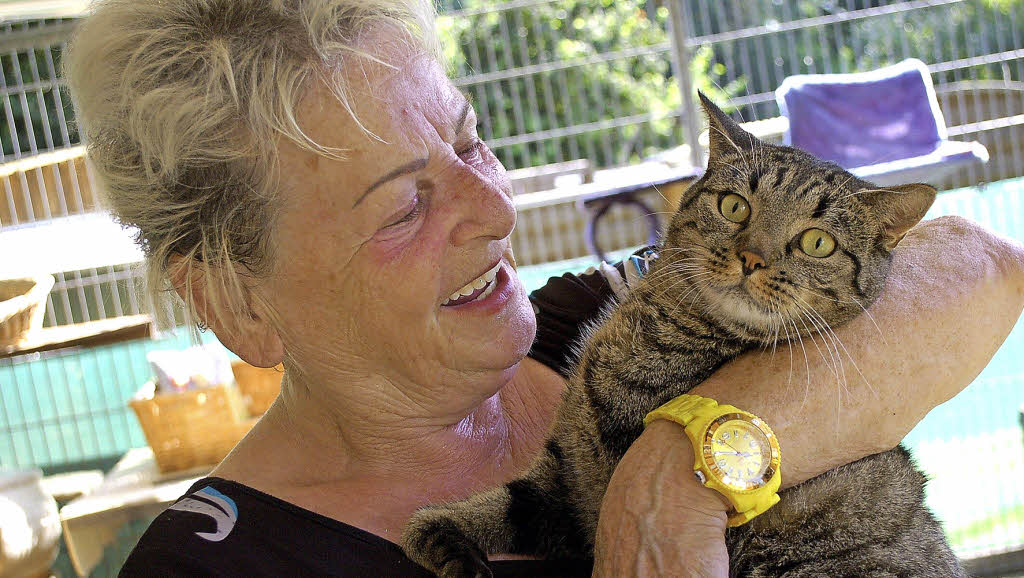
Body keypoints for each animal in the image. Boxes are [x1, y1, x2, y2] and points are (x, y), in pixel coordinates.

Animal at [397, 94, 958, 578]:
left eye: (816, 243)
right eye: (734, 206)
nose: (752, 257)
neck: (657, 323)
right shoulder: (564, 480)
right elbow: (497, 505)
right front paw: (437, 536)